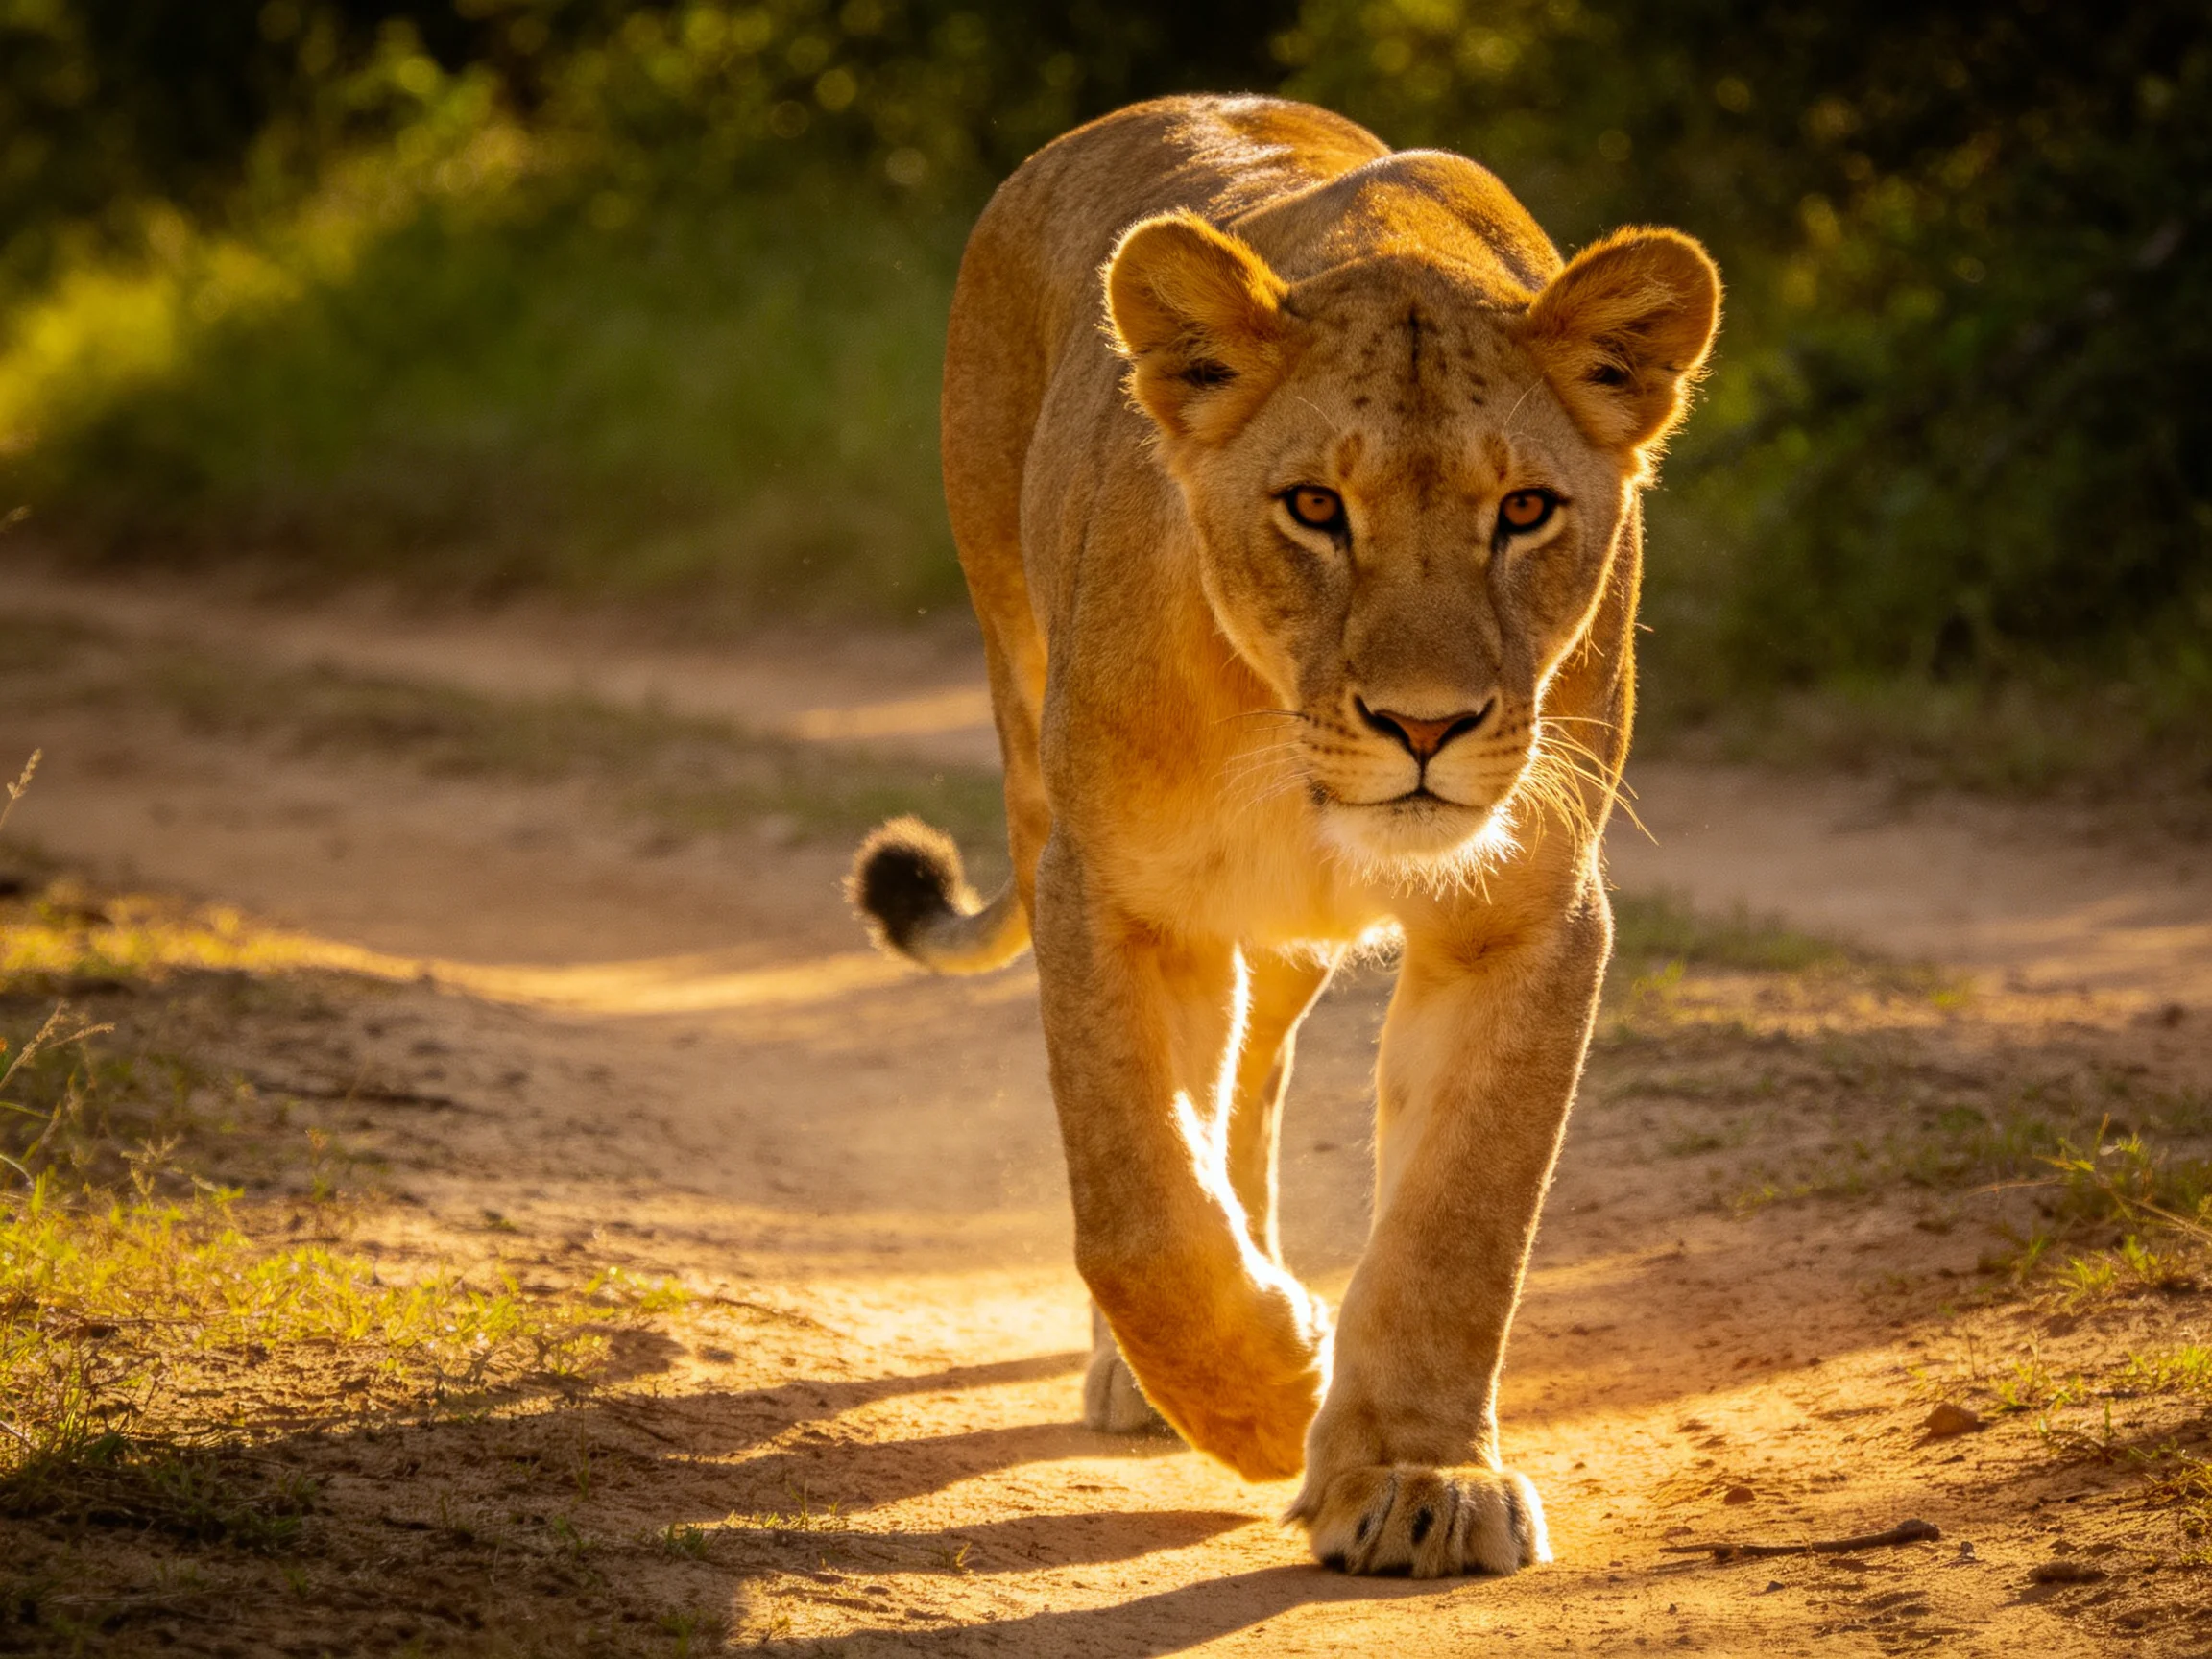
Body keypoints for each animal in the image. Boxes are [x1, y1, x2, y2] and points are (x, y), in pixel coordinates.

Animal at [850, 94, 1719, 1576]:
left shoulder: (1526, 915)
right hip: (1028, 724)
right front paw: (1264, 1401)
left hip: (1284, 940)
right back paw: (1167, 1374)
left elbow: (1460, 1220)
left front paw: (1419, 1477)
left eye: (1525, 511)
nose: (1426, 724)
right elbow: (1137, 1204)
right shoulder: (1113, 892)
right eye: (1315, 507)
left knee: (1248, 1089)